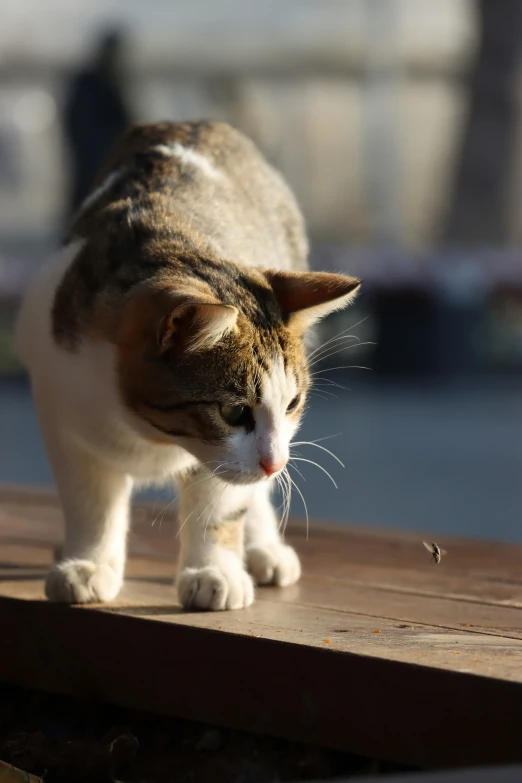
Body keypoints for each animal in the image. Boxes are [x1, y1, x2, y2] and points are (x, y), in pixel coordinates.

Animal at [15, 122, 358, 612]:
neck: (146, 431)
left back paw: (264, 548)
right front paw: (88, 563)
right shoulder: (64, 415)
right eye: (234, 411)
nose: (275, 463)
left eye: (292, 403)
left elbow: (222, 505)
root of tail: (199, 124)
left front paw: (214, 571)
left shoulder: (229, 458)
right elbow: (90, 502)